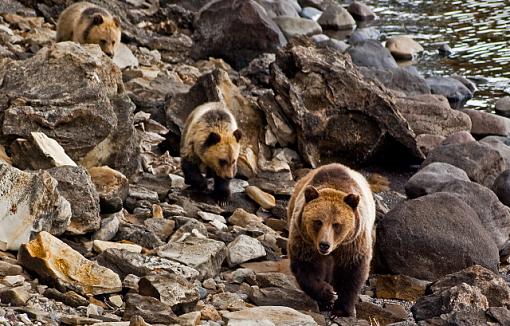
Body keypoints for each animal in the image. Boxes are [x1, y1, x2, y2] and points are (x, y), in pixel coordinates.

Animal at [286, 163, 374, 316]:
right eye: (318, 221)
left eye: (336, 224)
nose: (324, 245)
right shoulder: (305, 240)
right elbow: (306, 268)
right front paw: (328, 295)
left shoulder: (352, 243)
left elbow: (352, 272)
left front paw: (343, 309)